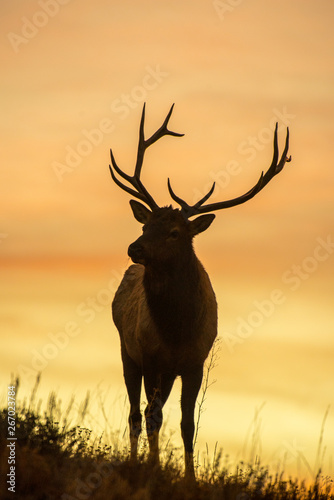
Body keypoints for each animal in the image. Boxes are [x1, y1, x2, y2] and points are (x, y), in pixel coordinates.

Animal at [109, 103, 290, 478]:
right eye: (145, 226)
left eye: (175, 232)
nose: (135, 247)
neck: (177, 329)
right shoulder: (150, 356)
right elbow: (152, 416)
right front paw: (154, 468)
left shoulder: (194, 362)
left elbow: (187, 424)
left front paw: (190, 479)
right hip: (127, 351)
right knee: (136, 413)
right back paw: (135, 461)